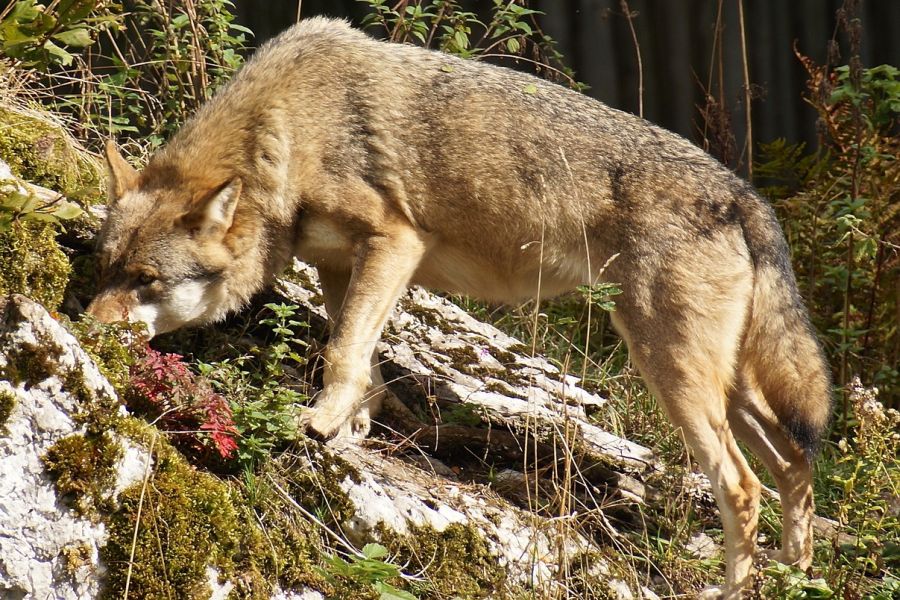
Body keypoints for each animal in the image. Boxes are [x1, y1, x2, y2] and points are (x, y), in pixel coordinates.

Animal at [88, 16, 832, 596]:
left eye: (147, 280)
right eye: (106, 269)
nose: (86, 326)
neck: (288, 129)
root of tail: (745, 194)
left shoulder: (395, 240)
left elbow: (342, 349)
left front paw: (322, 424)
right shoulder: (341, 264)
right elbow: (359, 356)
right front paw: (354, 426)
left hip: (671, 374)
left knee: (744, 486)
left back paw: (734, 588)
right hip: (722, 385)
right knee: (796, 466)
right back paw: (795, 576)